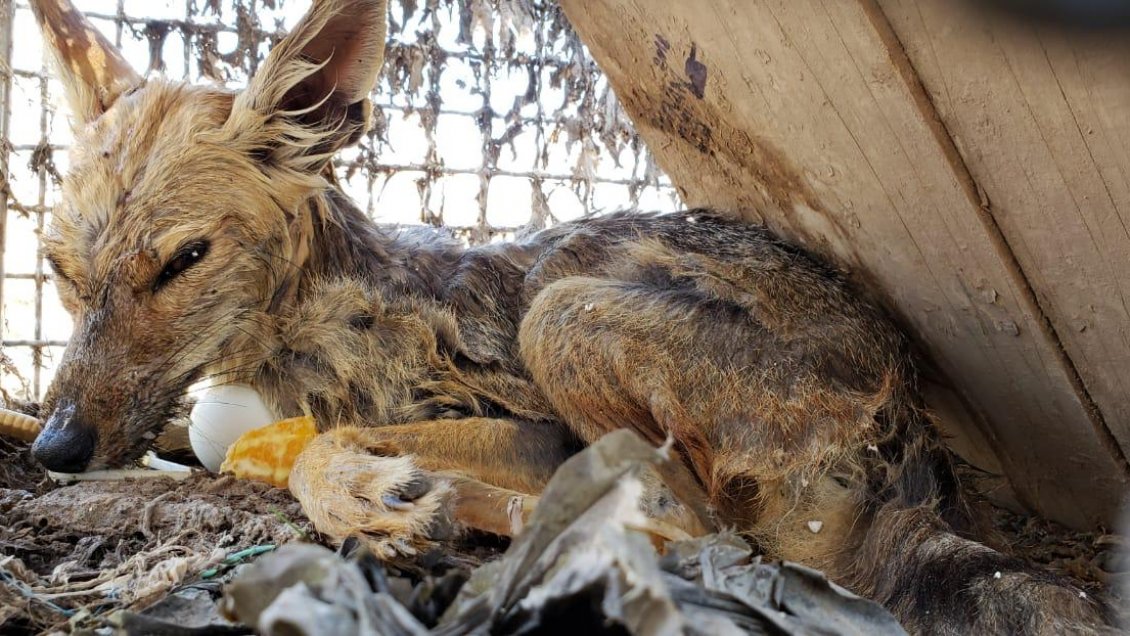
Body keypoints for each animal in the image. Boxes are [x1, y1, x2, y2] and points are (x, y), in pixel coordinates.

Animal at [24, 0, 1114, 632]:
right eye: (61, 272)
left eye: (183, 261)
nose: (54, 449)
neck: (321, 328)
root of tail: (913, 438)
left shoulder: (526, 425)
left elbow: (322, 451)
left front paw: (365, 493)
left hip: (562, 314)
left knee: (689, 527)